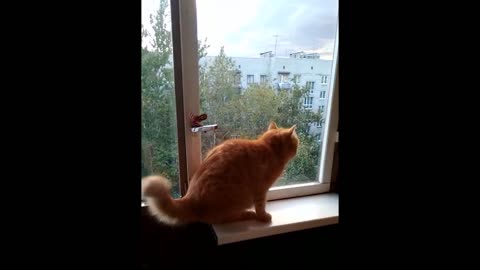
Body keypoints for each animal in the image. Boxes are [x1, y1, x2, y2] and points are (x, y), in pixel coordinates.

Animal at [142, 122, 298, 226]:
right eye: (296, 142)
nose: (297, 149)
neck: (268, 149)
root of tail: (190, 198)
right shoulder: (261, 190)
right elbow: (260, 206)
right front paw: (263, 216)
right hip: (236, 199)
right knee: (223, 218)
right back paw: (247, 214)